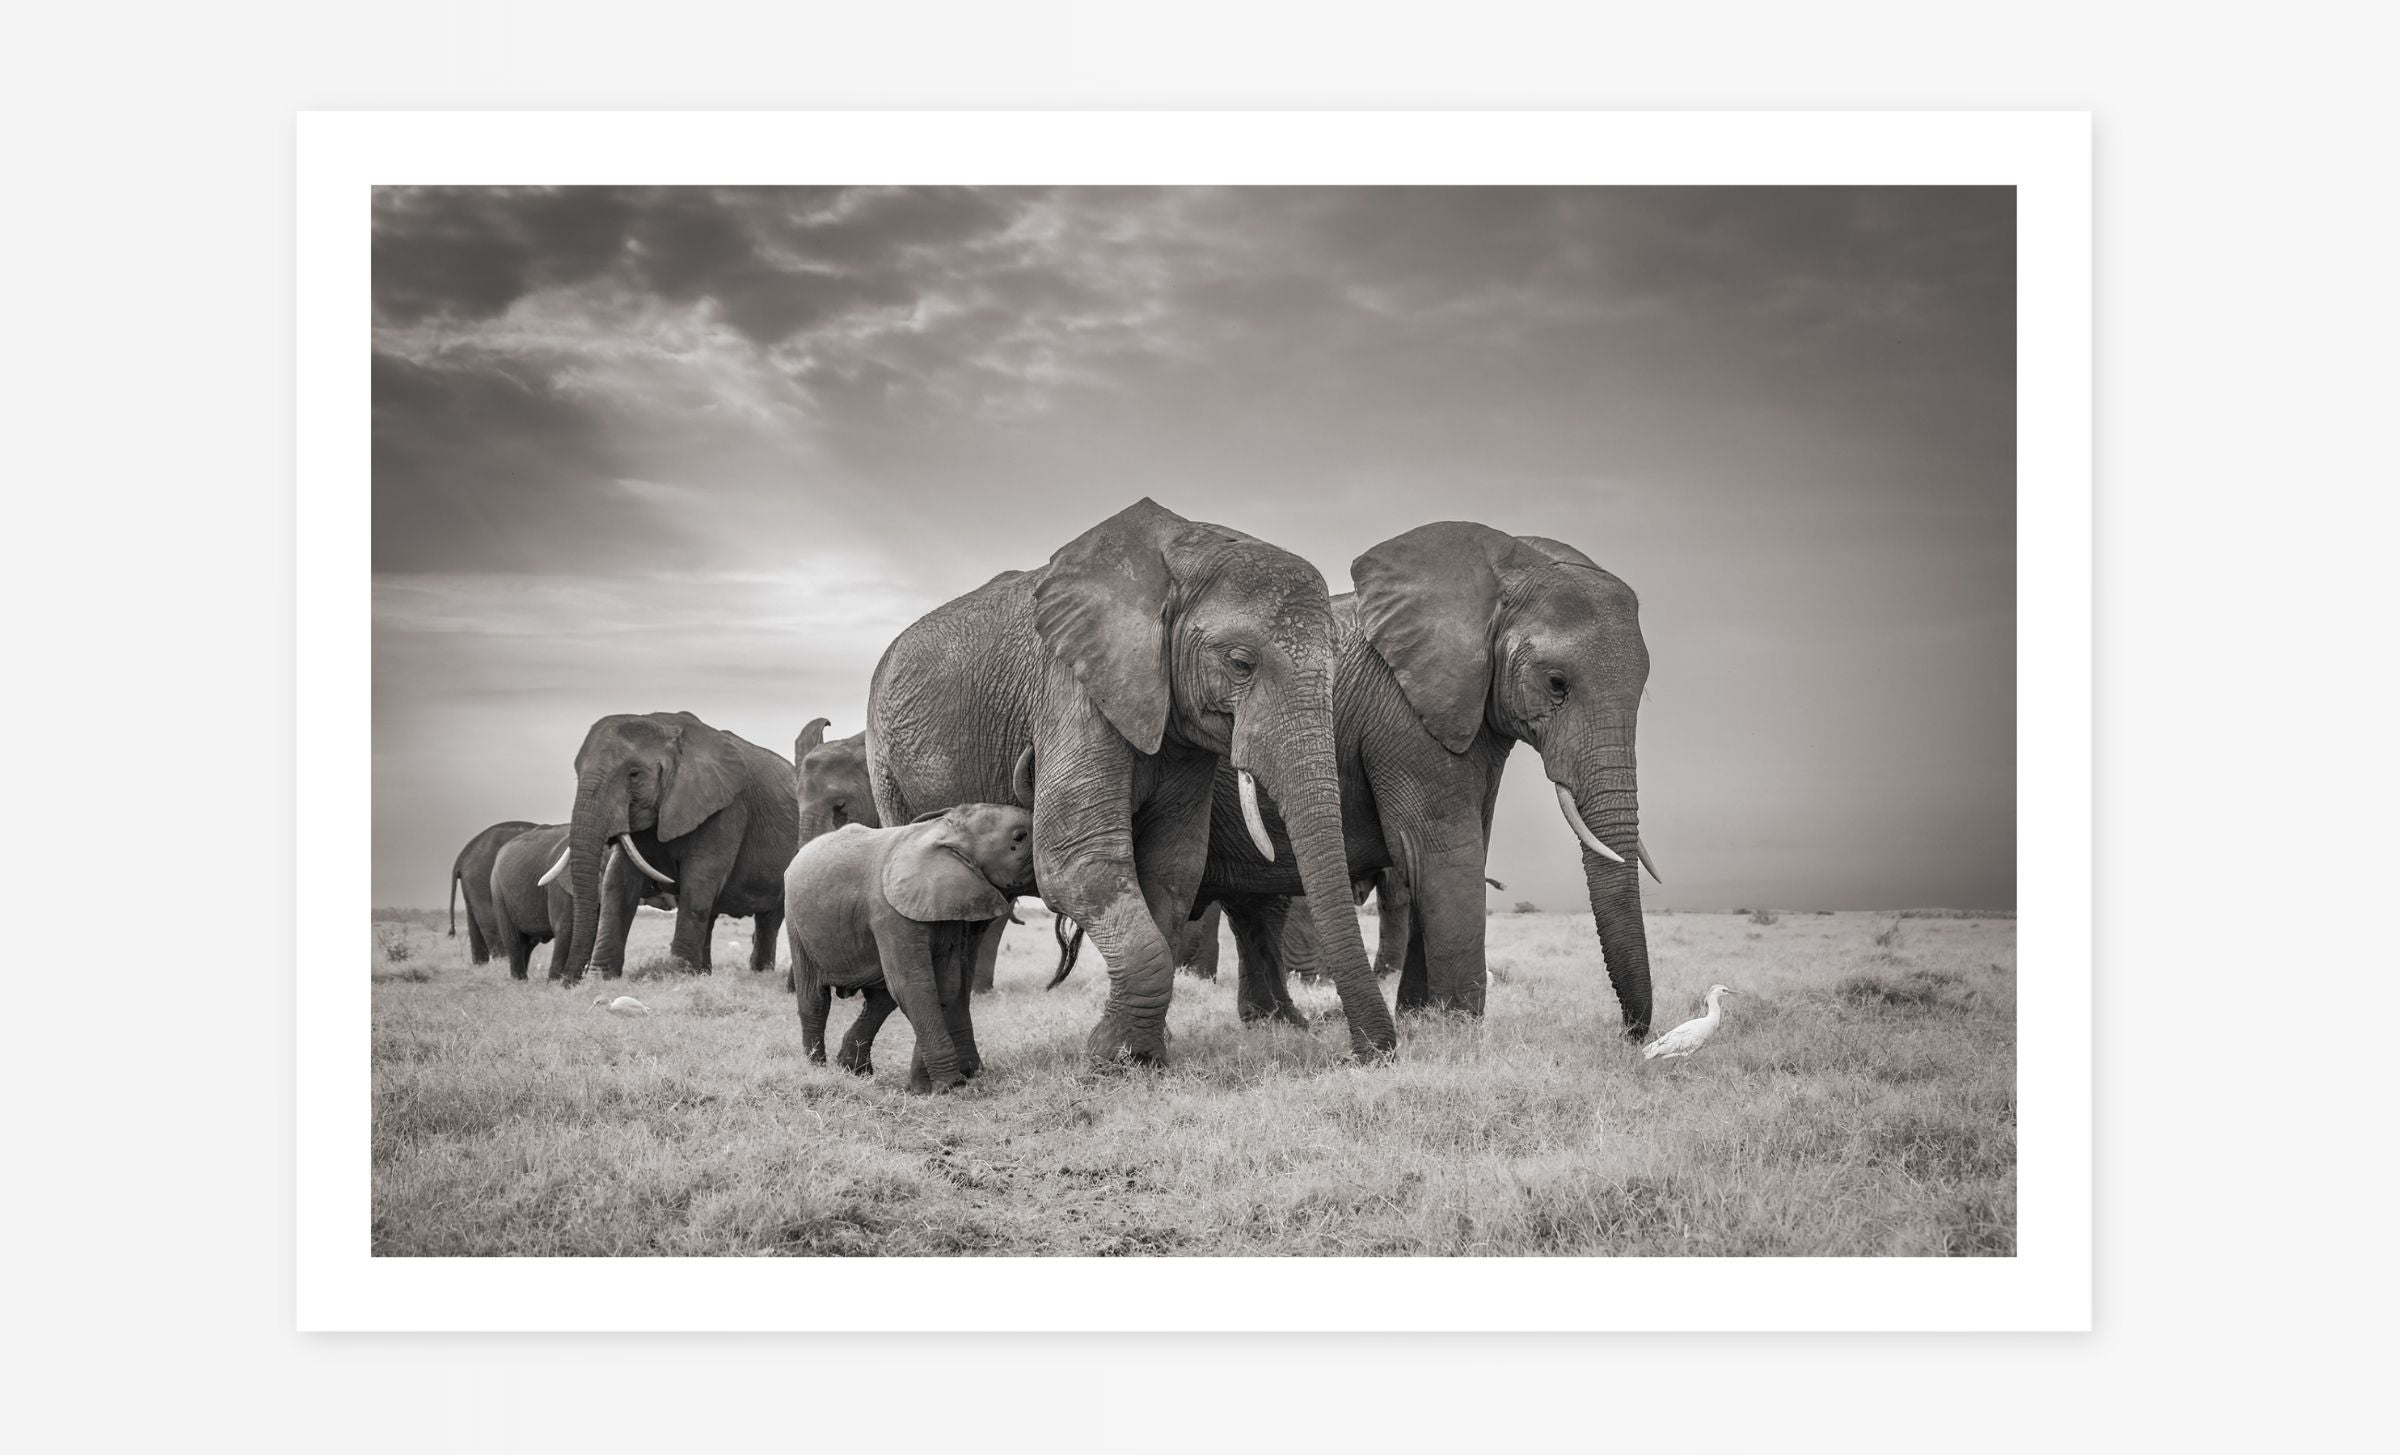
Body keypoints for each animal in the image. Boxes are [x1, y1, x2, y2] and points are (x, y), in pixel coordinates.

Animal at [551, 711, 799, 983]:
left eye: (634, 774)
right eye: (577, 774)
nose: (569, 980)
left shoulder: (727, 806)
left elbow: (700, 877)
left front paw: (676, 973)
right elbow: (618, 882)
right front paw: (601, 978)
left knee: (769, 918)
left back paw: (757, 974)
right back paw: (703, 973)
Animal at [784, 803, 1035, 1093]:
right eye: (1019, 837)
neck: (945, 832)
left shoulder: (946, 912)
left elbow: (946, 986)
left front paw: (922, 1088)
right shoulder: (890, 914)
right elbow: (914, 986)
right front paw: (949, 1086)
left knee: (880, 999)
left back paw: (854, 1069)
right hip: (796, 922)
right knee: (815, 998)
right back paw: (818, 1068)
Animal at [866, 498, 1395, 1067]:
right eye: (1240, 663)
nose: (1364, 1055)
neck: (1184, 552)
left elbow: (1171, 867)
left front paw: (1133, 1054)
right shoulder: (1070, 688)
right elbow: (1077, 862)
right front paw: (1112, 1059)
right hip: (886, 765)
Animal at [1190, 522, 1659, 1039]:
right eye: (1557, 682)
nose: (1628, 1034)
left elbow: (1443, 854)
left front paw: (1420, 1017)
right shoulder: (1402, 713)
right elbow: (1442, 854)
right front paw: (1457, 1029)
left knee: (1256, 910)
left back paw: (1280, 1024)